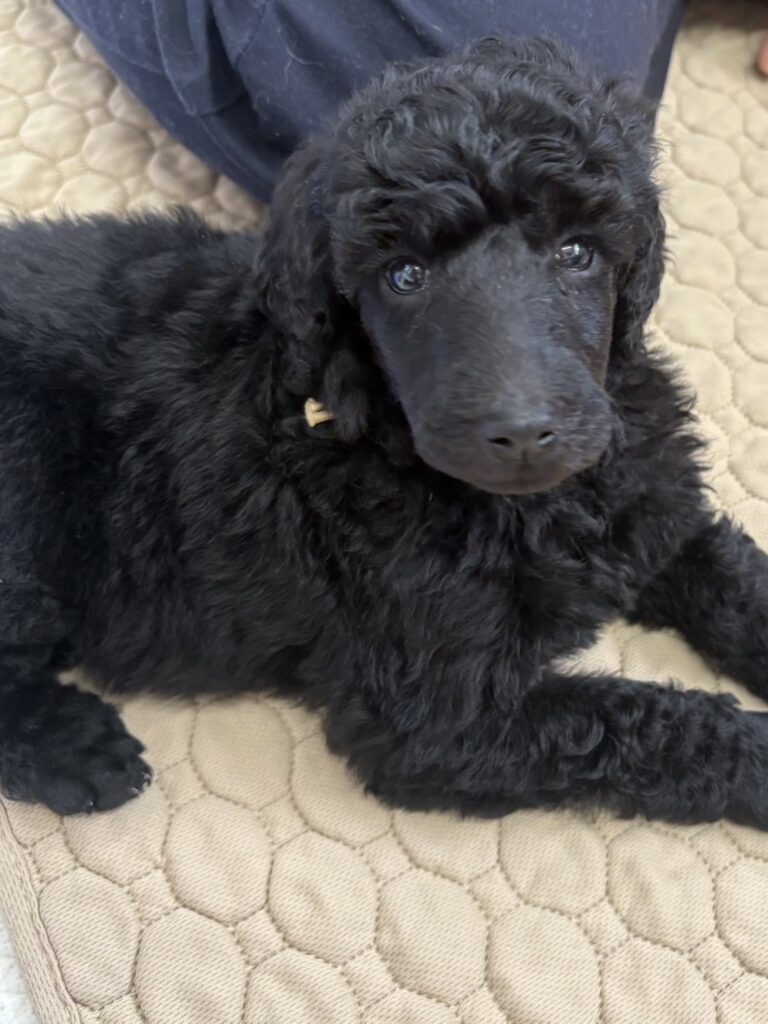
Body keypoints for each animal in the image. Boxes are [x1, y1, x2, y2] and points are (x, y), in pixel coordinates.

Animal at [1, 37, 768, 827]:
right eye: (404, 275)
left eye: (577, 251)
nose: (522, 434)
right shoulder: (436, 716)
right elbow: (639, 722)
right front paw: (759, 755)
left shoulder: (653, 509)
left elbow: (733, 579)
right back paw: (77, 750)